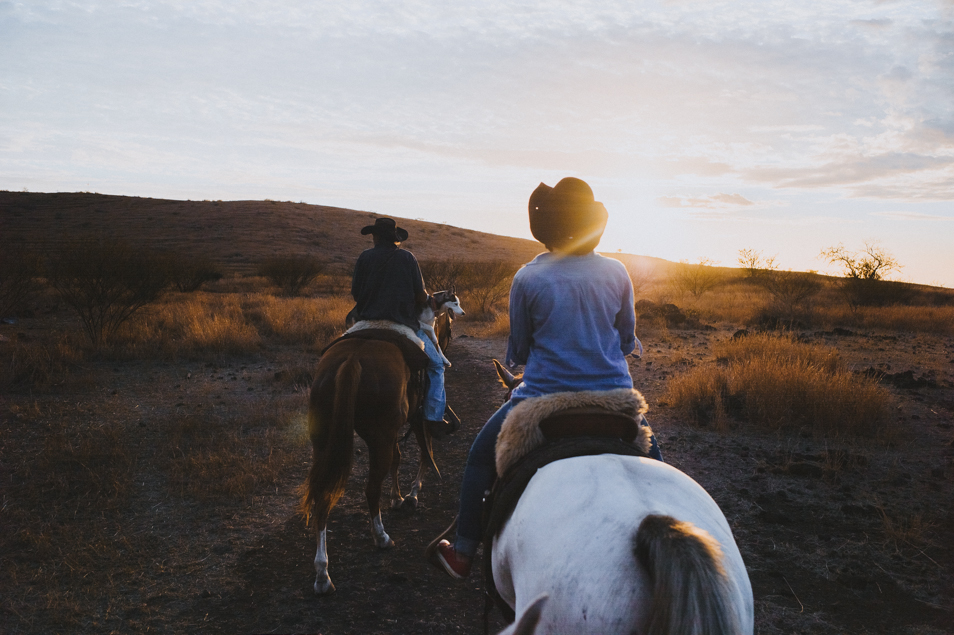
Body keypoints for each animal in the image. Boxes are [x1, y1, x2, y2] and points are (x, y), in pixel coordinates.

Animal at [304, 322, 452, 596]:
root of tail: (352, 360)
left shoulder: (394, 433)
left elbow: (399, 459)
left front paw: (397, 497)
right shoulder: (417, 421)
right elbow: (425, 455)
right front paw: (411, 494)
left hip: (325, 442)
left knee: (322, 496)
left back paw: (322, 572)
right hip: (380, 437)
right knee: (371, 489)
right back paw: (381, 537)